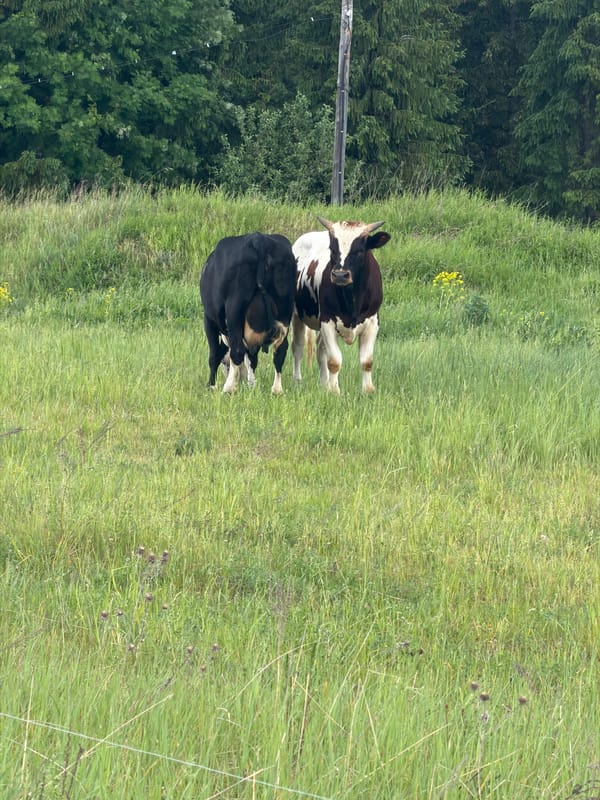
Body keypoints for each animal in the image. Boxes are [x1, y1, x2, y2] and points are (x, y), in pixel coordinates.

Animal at [200, 232, 297, 394]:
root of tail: (259, 239)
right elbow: (251, 358)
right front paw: (250, 384)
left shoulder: (209, 319)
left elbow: (214, 355)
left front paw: (211, 385)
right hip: (284, 311)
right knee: (280, 350)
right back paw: (276, 390)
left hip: (234, 308)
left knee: (237, 351)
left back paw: (228, 388)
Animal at [292, 217, 391, 394]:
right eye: (332, 250)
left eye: (359, 251)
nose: (340, 275)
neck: (352, 299)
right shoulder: (327, 321)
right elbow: (334, 361)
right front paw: (334, 391)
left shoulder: (373, 322)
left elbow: (367, 361)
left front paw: (368, 390)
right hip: (297, 316)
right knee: (298, 348)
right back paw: (298, 381)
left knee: (320, 350)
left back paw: (324, 383)